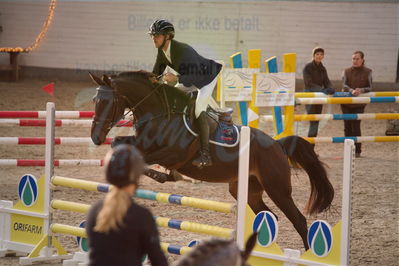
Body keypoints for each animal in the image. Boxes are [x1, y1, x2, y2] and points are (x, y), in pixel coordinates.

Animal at [90, 70, 334, 249]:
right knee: (269, 216)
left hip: (278, 188)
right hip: (247, 190)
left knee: (299, 221)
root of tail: (277, 145)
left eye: (108, 102)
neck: (160, 114)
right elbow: (118, 143)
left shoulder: (172, 154)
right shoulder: (141, 143)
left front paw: (165, 175)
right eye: (95, 100)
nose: (95, 137)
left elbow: (147, 159)